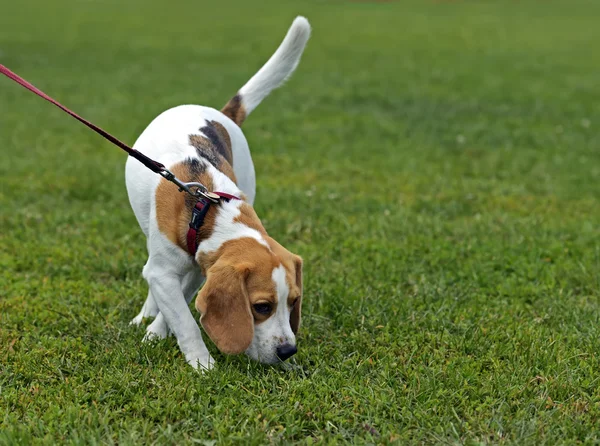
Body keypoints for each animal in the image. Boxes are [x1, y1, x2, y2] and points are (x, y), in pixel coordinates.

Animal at [125, 16, 312, 370]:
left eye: (294, 301)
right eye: (262, 307)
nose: (287, 351)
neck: (211, 210)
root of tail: (219, 112)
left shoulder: (201, 270)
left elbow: (182, 305)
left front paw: (158, 332)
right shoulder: (166, 270)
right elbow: (183, 319)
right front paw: (203, 365)